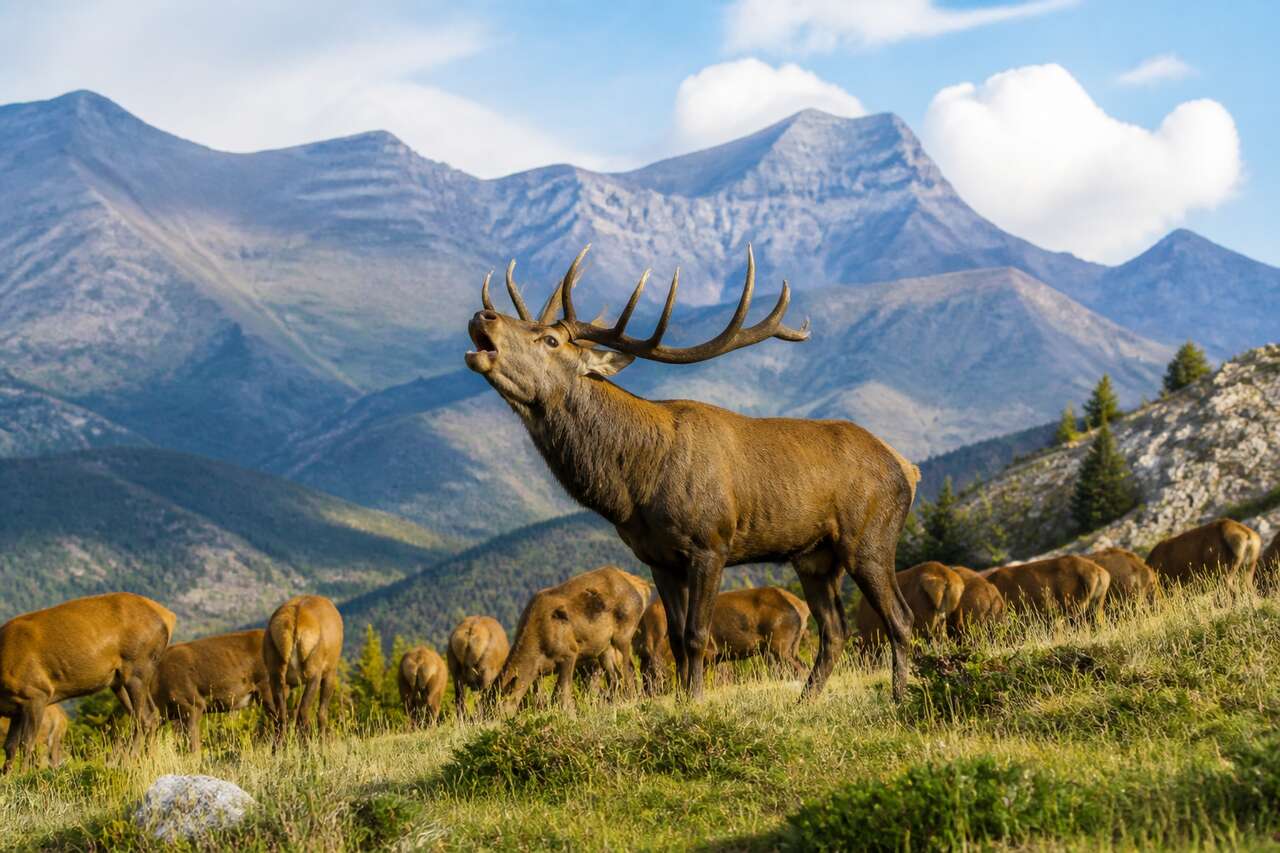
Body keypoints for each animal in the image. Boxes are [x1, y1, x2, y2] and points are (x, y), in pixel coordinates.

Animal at [464, 246, 919, 700]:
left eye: (550, 339)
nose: (483, 315)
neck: (634, 490)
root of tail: (907, 468)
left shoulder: (710, 543)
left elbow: (697, 634)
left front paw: (697, 700)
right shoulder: (658, 559)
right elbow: (678, 639)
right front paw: (683, 699)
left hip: (869, 538)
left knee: (900, 617)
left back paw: (899, 695)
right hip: (814, 556)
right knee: (835, 629)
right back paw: (805, 700)